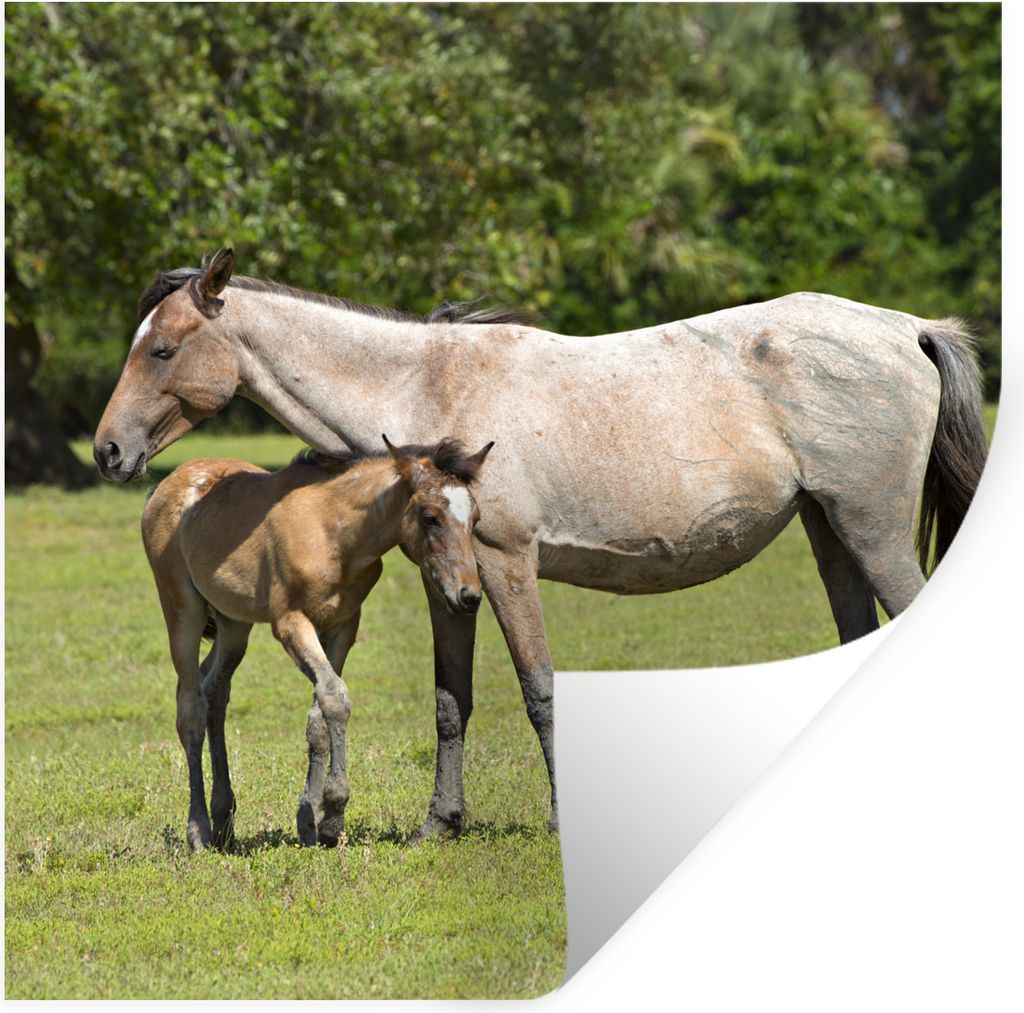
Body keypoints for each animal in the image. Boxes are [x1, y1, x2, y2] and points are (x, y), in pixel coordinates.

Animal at [141, 435, 493, 851]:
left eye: (476, 519)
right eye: (430, 517)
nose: (468, 596)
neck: (334, 533)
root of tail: (164, 486)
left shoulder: (343, 626)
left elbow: (319, 716)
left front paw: (311, 822)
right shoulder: (291, 623)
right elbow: (335, 698)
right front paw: (334, 812)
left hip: (234, 623)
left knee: (215, 691)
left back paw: (224, 818)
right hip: (182, 608)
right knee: (190, 707)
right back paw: (198, 830)